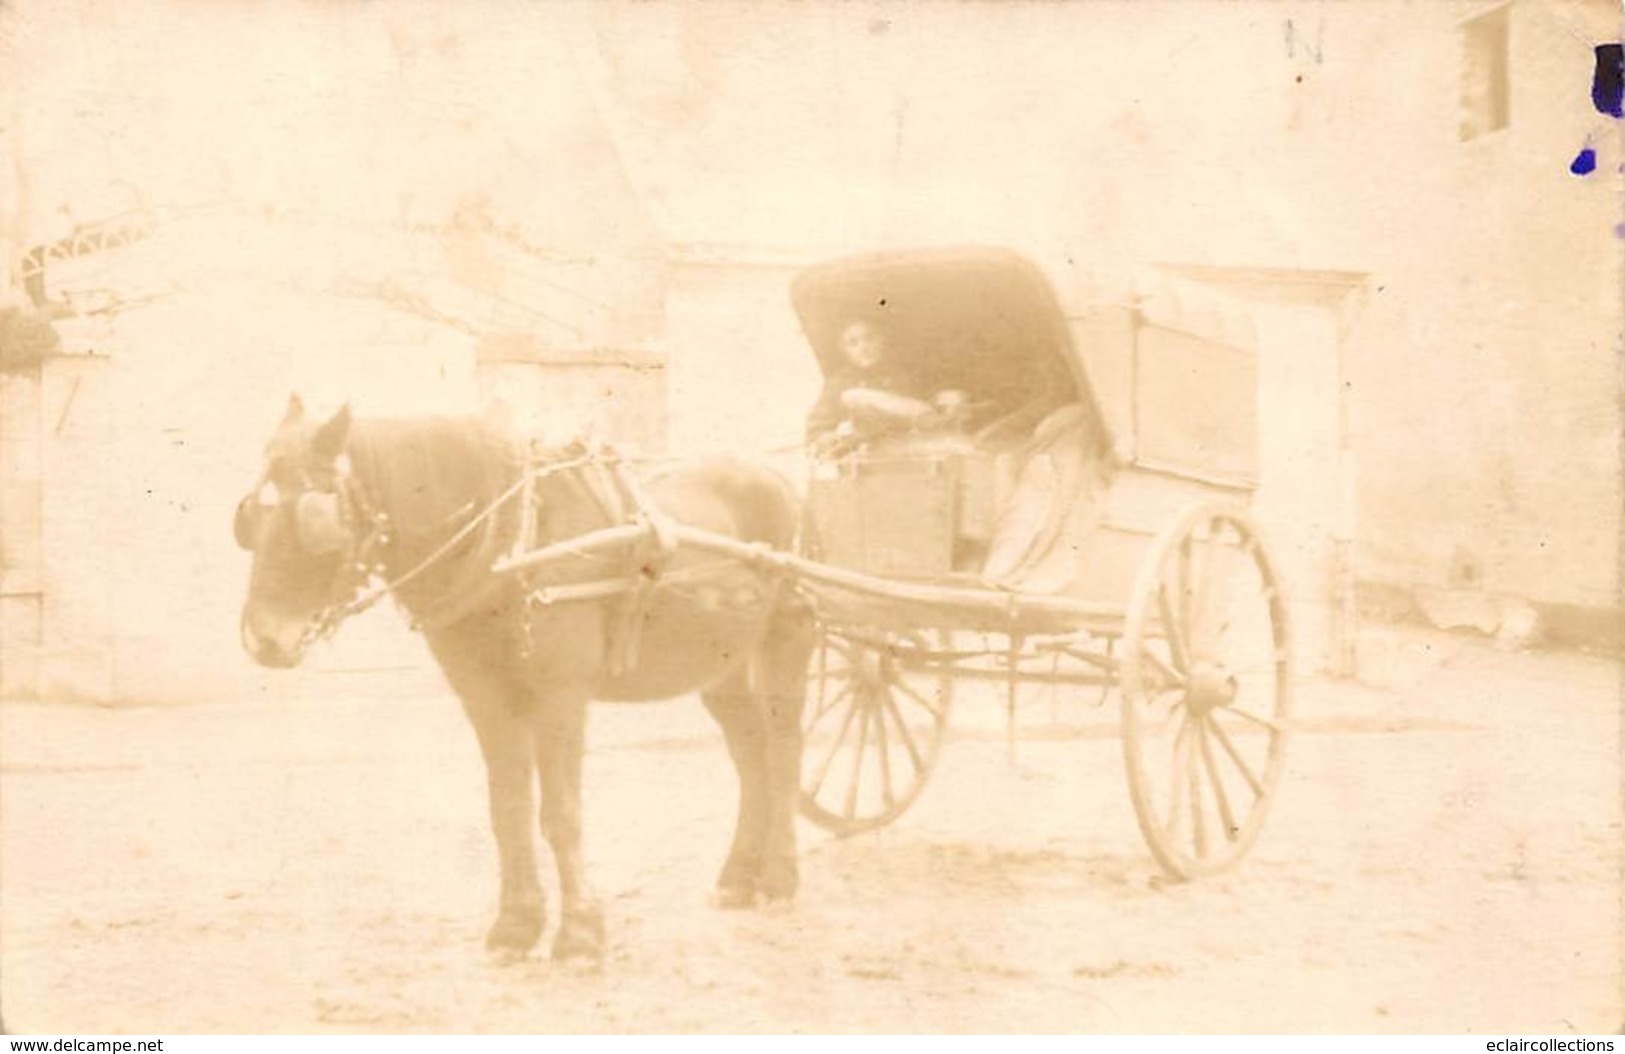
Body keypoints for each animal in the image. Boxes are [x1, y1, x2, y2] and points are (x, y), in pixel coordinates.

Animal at [232, 393, 812, 954]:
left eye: (313, 517)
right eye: (251, 518)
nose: (263, 639)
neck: (512, 539)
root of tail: (780, 476)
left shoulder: (561, 694)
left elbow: (561, 813)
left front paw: (579, 932)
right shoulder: (486, 697)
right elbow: (508, 809)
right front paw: (517, 924)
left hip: (785, 638)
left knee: (784, 754)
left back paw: (780, 879)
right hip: (723, 666)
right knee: (752, 758)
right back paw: (739, 877)